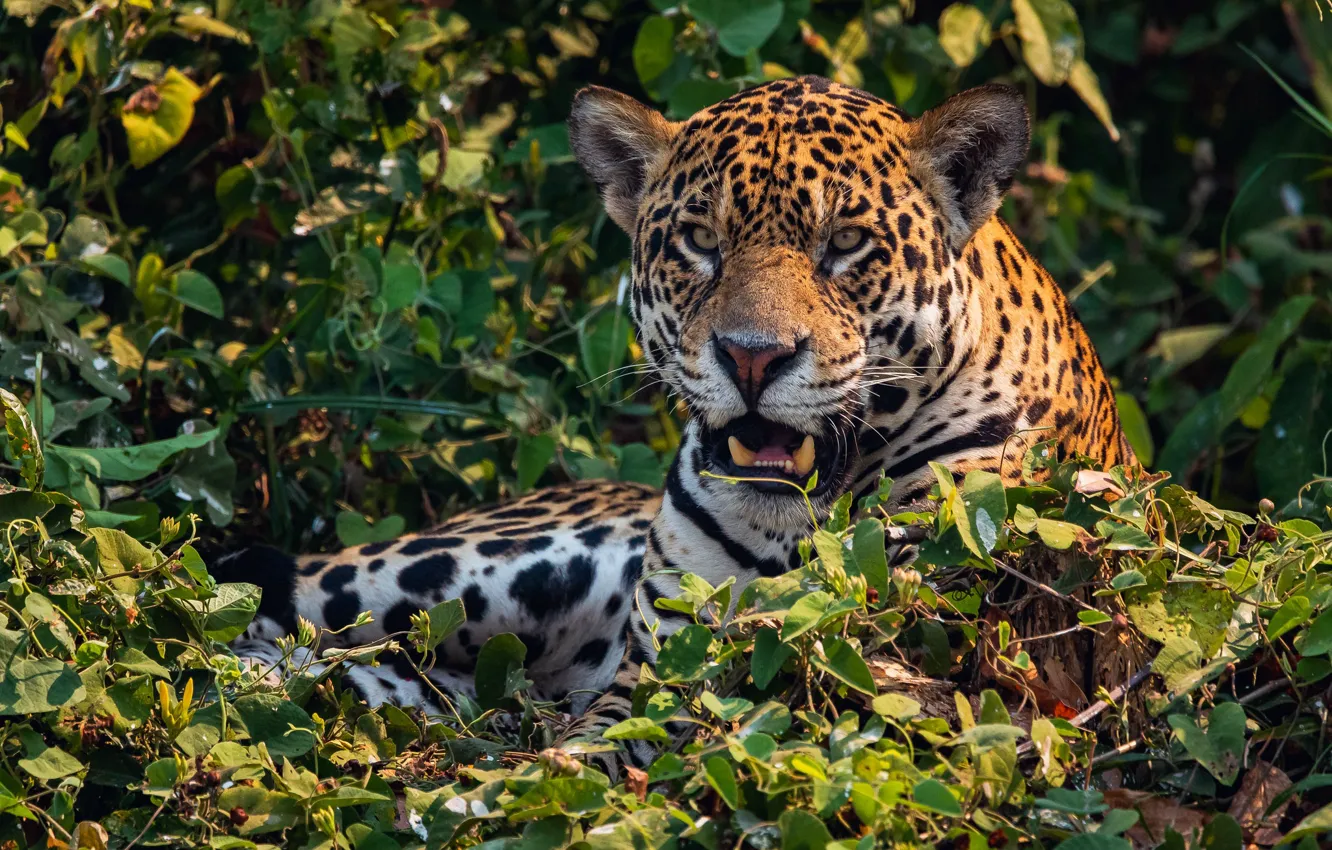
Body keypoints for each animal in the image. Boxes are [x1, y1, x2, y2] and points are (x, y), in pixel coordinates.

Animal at [221, 76, 1135, 772]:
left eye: (847, 243)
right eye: (699, 240)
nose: (754, 357)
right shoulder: (664, 660)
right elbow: (598, 743)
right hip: (450, 570)